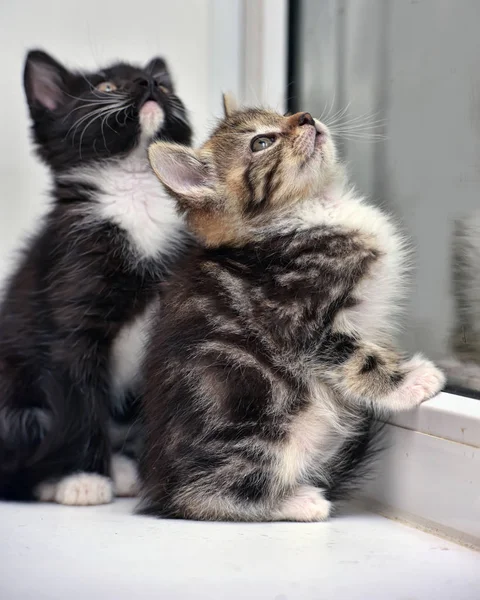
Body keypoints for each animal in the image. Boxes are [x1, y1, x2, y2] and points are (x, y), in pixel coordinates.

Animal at [0, 49, 191, 504]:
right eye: (106, 87)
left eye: (165, 85)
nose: (148, 84)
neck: (135, 191)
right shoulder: (69, 314)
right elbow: (80, 402)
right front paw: (85, 477)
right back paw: (55, 479)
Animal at [139, 95, 446, 520]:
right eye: (262, 143)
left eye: (282, 114)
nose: (306, 117)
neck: (315, 209)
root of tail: (160, 484)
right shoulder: (299, 322)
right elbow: (358, 358)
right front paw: (409, 381)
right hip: (260, 423)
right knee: (201, 494)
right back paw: (296, 501)